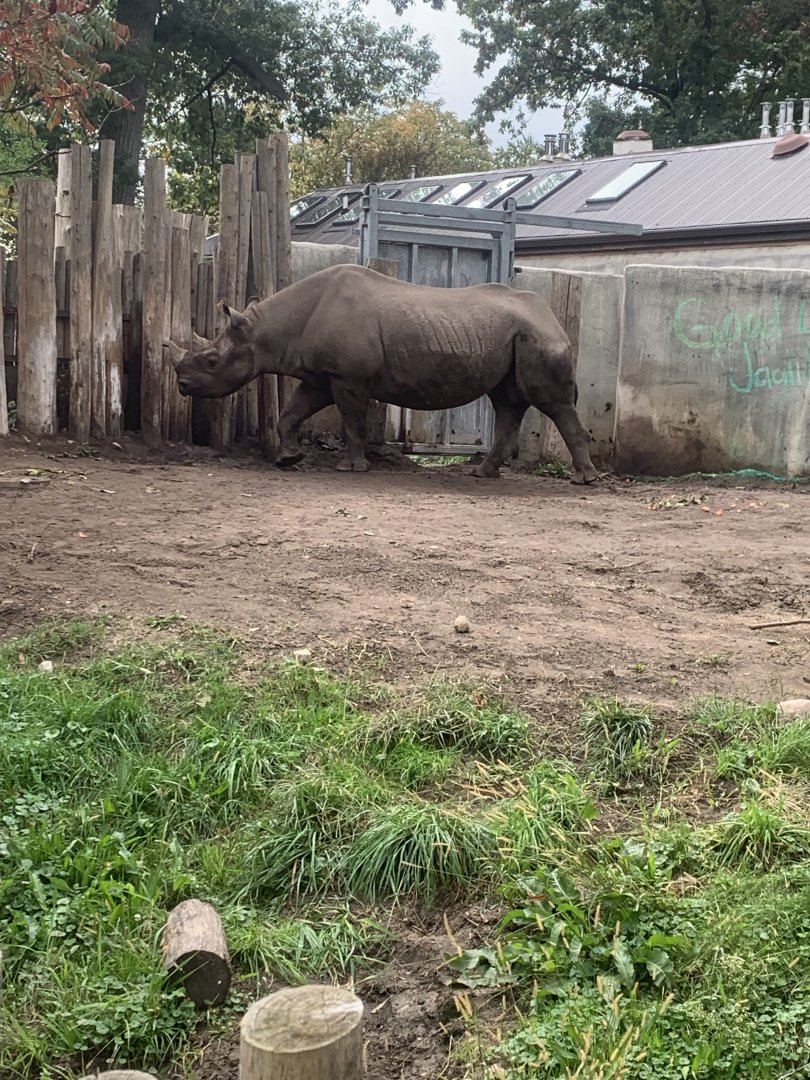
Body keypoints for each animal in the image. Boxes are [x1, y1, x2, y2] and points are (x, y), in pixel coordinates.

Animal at [169, 263, 598, 483]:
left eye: (211, 361)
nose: (183, 386)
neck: (269, 328)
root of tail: (552, 318)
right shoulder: (321, 376)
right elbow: (290, 413)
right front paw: (288, 460)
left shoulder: (348, 378)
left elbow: (352, 421)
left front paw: (352, 468)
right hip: (518, 336)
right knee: (507, 402)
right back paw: (482, 474)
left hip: (538, 337)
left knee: (552, 403)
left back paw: (584, 480)